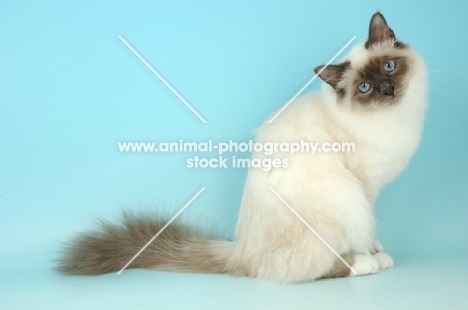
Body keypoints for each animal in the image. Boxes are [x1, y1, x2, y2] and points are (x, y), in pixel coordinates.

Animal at [56, 12, 426, 284]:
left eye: (389, 67)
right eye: (364, 87)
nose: (387, 89)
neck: (394, 120)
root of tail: (242, 250)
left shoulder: (373, 188)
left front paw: (377, 249)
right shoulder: (365, 188)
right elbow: (368, 228)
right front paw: (374, 252)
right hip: (344, 202)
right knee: (305, 269)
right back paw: (365, 263)